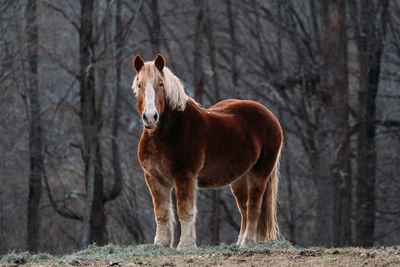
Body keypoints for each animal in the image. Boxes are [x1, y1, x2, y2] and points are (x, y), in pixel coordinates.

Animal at [131, 53, 282, 250]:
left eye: (161, 84)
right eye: (139, 84)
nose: (150, 117)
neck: (164, 134)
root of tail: (270, 115)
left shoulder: (185, 176)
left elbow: (185, 211)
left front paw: (185, 245)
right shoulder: (154, 178)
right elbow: (162, 213)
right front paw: (161, 244)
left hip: (259, 174)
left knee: (254, 208)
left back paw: (247, 243)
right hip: (240, 179)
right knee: (244, 209)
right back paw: (239, 242)